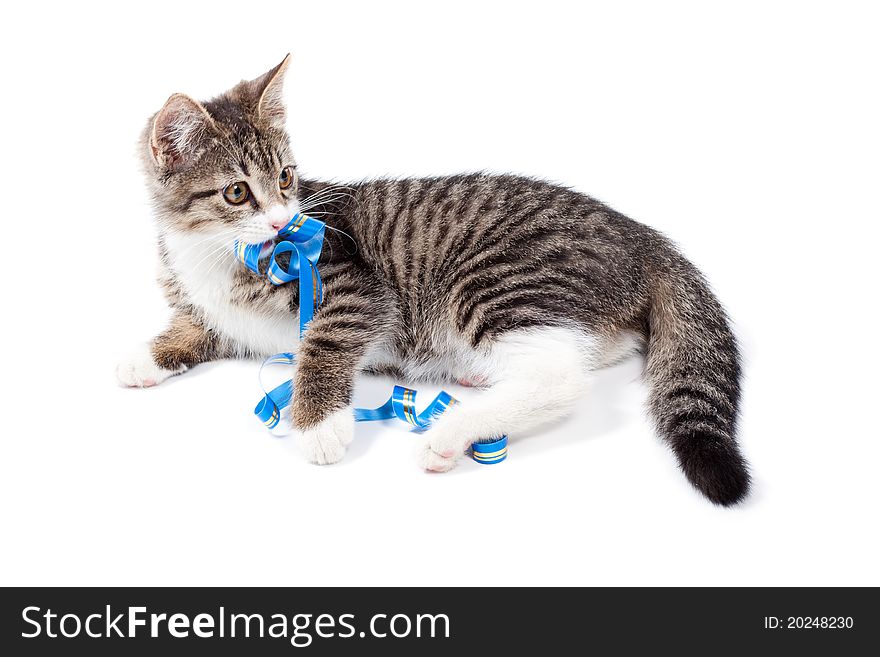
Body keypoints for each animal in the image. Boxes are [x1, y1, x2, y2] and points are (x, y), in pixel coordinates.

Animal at [117, 57, 748, 508]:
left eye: (287, 177)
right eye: (236, 192)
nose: (282, 220)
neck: (215, 252)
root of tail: (645, 237)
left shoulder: (351, 282)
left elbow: (324, 340)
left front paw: (318, 422)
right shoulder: (213, 311)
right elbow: (192, 330)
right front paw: (146, 355)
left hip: (496, 278)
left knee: (561, 378)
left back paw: (454, 431)